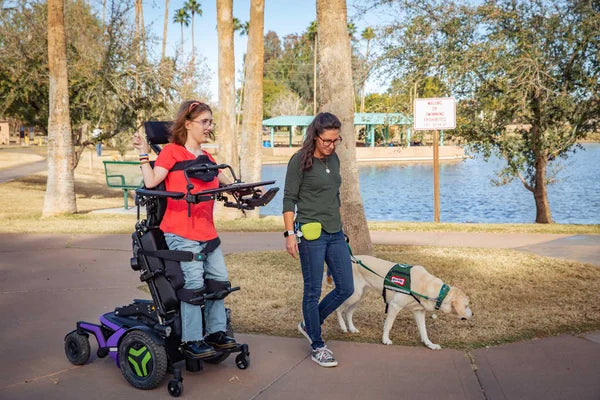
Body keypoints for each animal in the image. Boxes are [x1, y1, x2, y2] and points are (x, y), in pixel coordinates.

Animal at [336, 256, 472, 350]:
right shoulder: (394, 306)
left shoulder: (419, 312)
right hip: (353, 294)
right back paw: (343, 326)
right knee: (338, 309)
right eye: (466, 305)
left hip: (359, 296)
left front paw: (430, 344)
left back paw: (352, 328)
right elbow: (388, 325)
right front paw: (385, 339)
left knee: (348, 312)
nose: (473, 314)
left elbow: (424, 331)